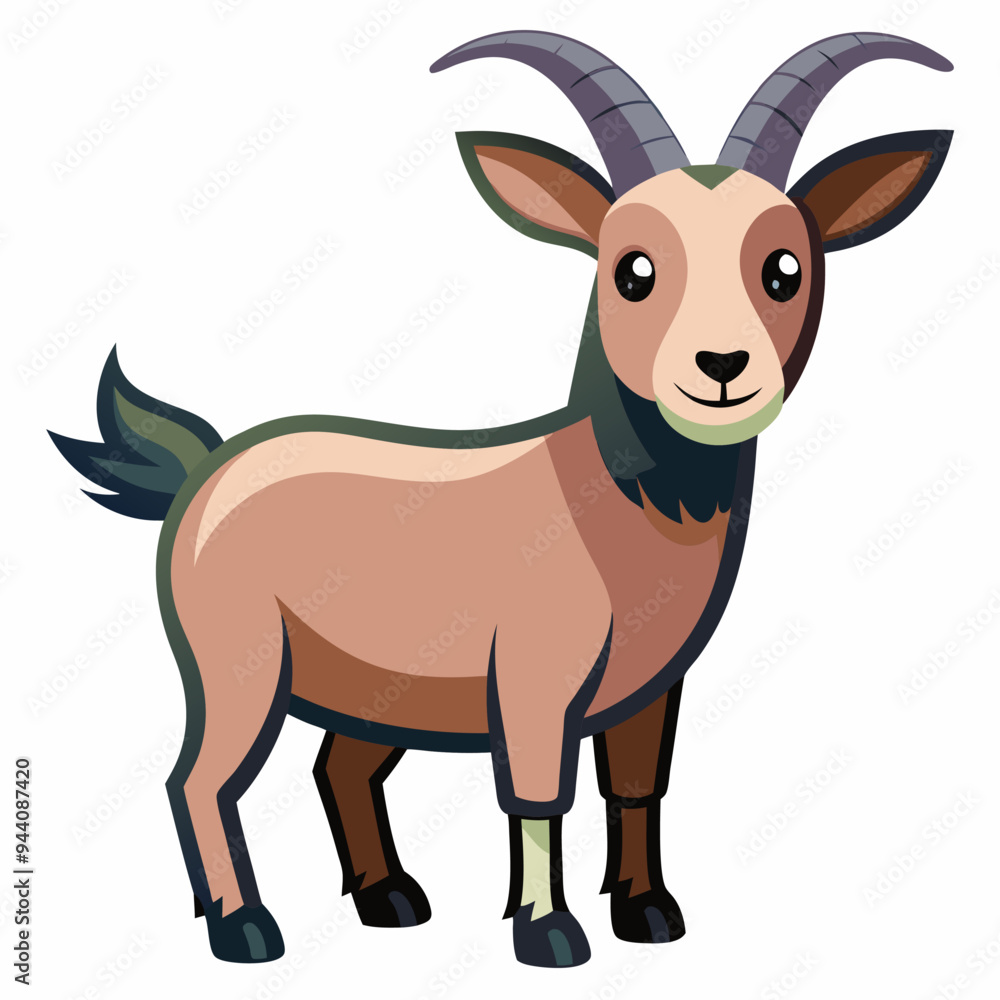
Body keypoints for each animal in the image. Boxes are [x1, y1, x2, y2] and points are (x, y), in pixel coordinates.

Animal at [50, 29, 952, 968]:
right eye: (633, 269)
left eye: (784, 268)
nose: (722, 367)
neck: (612, 498)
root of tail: (206, 470)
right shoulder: (531, 677)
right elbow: (536, 793)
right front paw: (548, 931)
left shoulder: (652, 687)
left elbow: (636, 787)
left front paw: (648, 913)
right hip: (237, 663)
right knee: (197, 780)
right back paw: (244, 926)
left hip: (376, 688)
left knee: (337, 767)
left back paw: (388, 899)